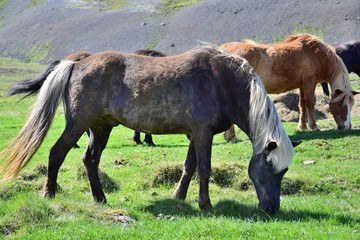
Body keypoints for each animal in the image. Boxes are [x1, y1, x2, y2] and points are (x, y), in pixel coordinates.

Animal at [0, 45, 298, 214]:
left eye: (284, 172)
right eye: (270, 168)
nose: (272, 209)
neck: (223, 81)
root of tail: (76, 63)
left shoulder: (197, 133)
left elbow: (189, 166)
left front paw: (179, 197)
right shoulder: (203, 133)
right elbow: (204, 168)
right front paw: (205, 204)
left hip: (101, 128)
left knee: (90, 160)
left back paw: (100, 198)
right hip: (78, 124)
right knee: (57, 153)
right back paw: (49, 193)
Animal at [221, 33, 358, 141]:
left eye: (350, 105)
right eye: (340, 104)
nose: (347, 127)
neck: (316, 54)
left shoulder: (302, 85)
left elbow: (302, 104)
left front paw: (302, 126)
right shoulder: (310, 83)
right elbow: (310, 103)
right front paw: (314, 126)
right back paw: (231, 136)